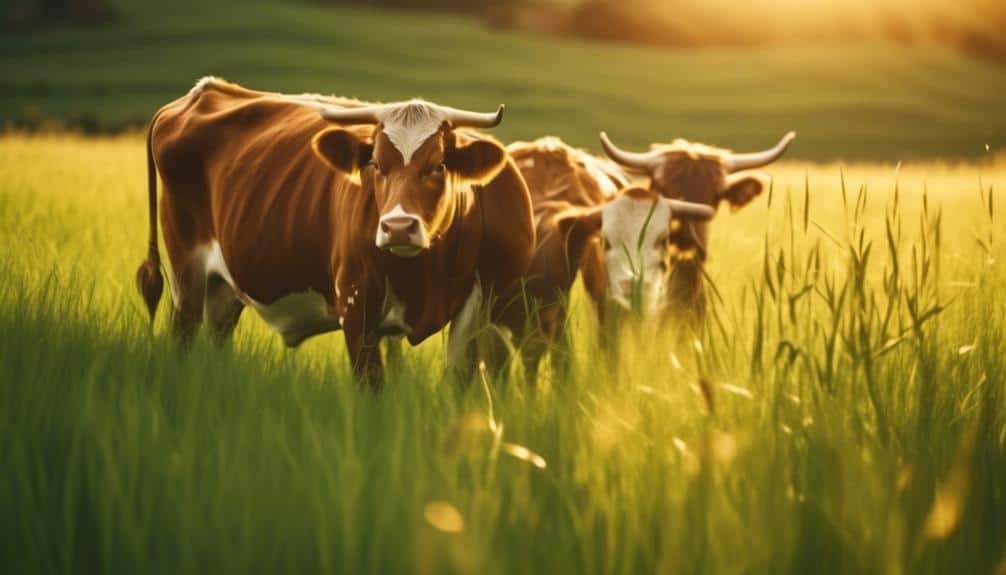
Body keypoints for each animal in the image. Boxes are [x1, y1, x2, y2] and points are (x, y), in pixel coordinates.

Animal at [135, 77, 535, 385]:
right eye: (375, 163)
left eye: (438, 166)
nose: (398, 227)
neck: (423, 272)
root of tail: (202, 91)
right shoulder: (357, 307)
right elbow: (371, 387)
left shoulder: (482, 309)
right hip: (186, 270)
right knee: (183, 334)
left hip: (223, 288)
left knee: (217, 338)